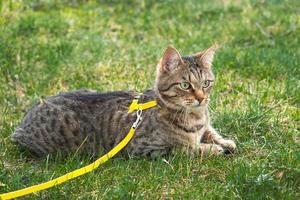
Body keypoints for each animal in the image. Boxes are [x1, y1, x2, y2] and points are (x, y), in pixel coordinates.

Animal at [10, 45, 237, 158]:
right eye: (185, 85)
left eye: (206, 83)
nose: (201, 98)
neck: (194, 117)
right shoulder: (145, 148)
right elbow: (185, 149)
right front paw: (210, 149)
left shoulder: (204, 125)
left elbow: (211, 132)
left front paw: (224, 142)